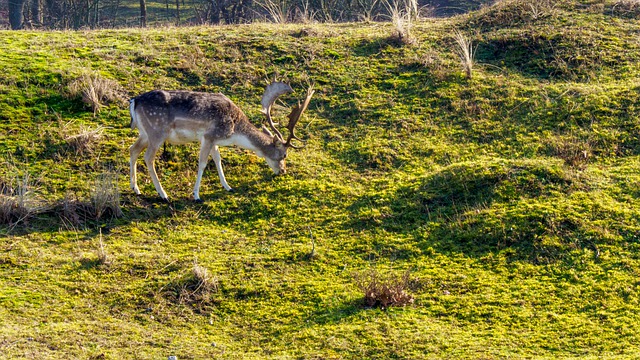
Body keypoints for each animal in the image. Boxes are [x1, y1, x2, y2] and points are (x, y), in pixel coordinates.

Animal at [128, 82, 316, 204]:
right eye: (284, 154)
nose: (283, 171)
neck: (234, 131)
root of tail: (134, 101)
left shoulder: (214, 140)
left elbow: (218, 160)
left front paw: (228, 186)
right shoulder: (209, 136)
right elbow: (203, 163)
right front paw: (196, 195)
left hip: (144, 133)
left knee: (133, 149)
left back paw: (135, 188)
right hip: (157, 131)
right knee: (148, 157)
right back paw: (163, 194)